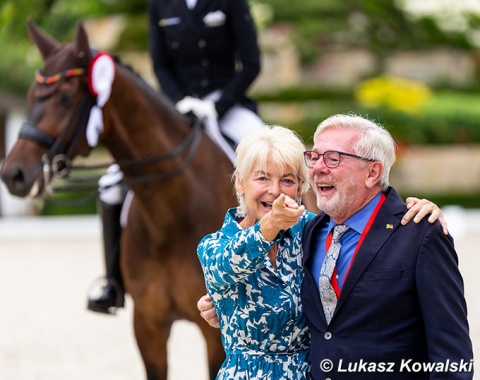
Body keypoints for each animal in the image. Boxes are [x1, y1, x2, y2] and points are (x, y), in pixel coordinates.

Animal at [1, 20, 234, 380]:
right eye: (29, 97)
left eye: (66, 98)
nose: (13, 174)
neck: (173, 208)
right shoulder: (147, 325)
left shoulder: (215, 334)